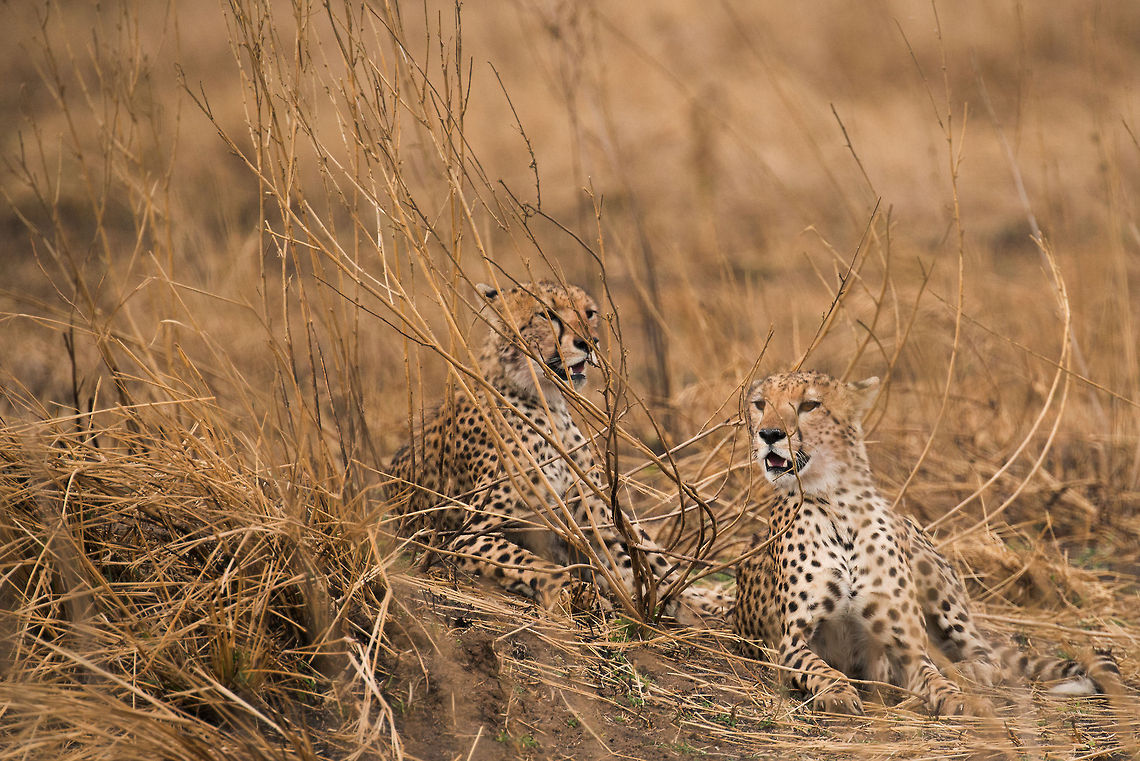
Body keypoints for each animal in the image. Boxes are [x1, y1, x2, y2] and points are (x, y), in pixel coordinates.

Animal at [386, 280, 726, 621]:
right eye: (547, 315)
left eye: (589, 313)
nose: (589, 343)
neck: (546, 404)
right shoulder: (465, 538)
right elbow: (533, 562)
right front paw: (582, 594)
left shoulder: (594, 519)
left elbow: (633, 569)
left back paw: (716, 603)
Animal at [733, 370, 1122, 716]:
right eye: (760, 404)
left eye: (810, 405)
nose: (769, 434)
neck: (839, 506)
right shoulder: (791, 643)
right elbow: (821, 669)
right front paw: (838, 693)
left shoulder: (906, 647)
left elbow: (933, 677)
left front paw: (955, 696)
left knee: (984, 654)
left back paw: (969, 670)